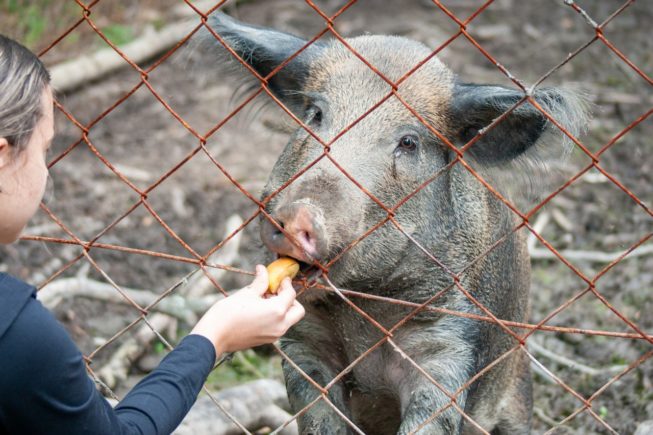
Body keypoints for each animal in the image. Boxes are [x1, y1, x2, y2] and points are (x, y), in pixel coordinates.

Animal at [201, 12, 588, 435]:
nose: (299, 212)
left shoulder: (447, 345)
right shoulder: (307, 344)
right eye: (316, 114)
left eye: (408, 142)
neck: (364, 306)